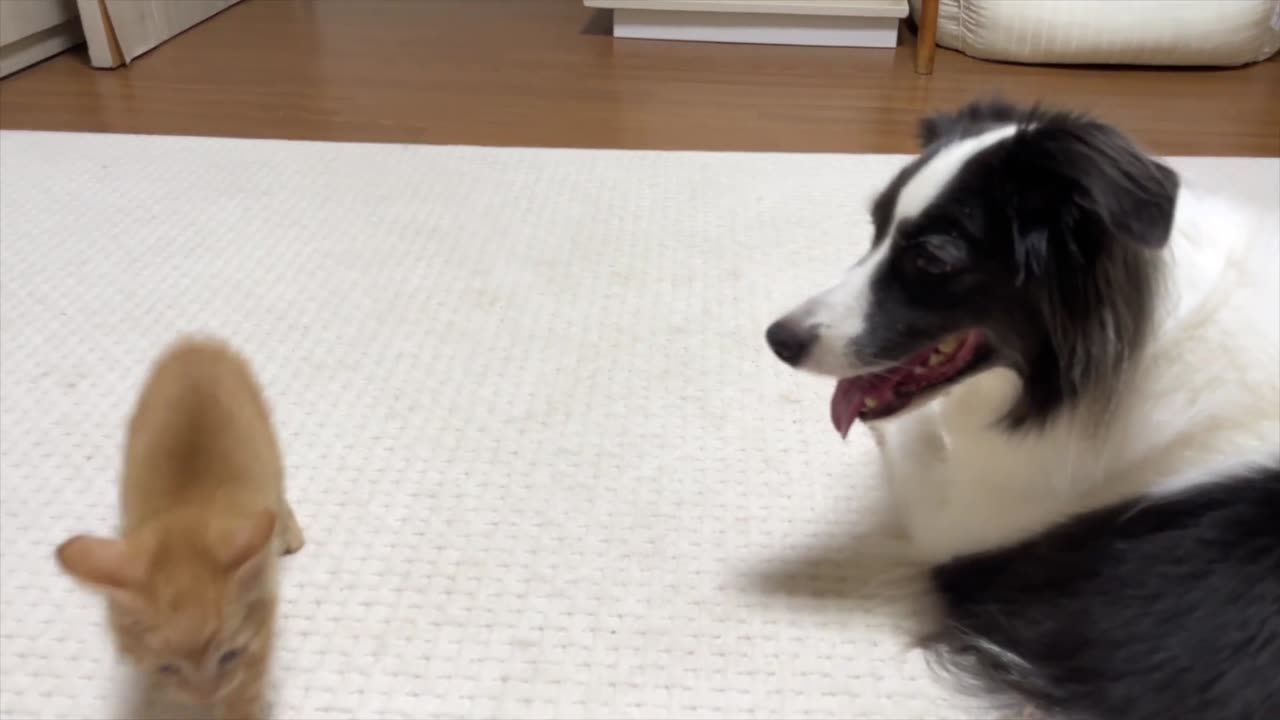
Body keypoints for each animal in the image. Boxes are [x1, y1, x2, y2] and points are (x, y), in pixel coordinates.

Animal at [56, 338, 304, 717]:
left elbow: (247, 688)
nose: (204, 697)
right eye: (167, 667)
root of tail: (197, 343)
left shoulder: (260, 627)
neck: (185, 512)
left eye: (229, 655)